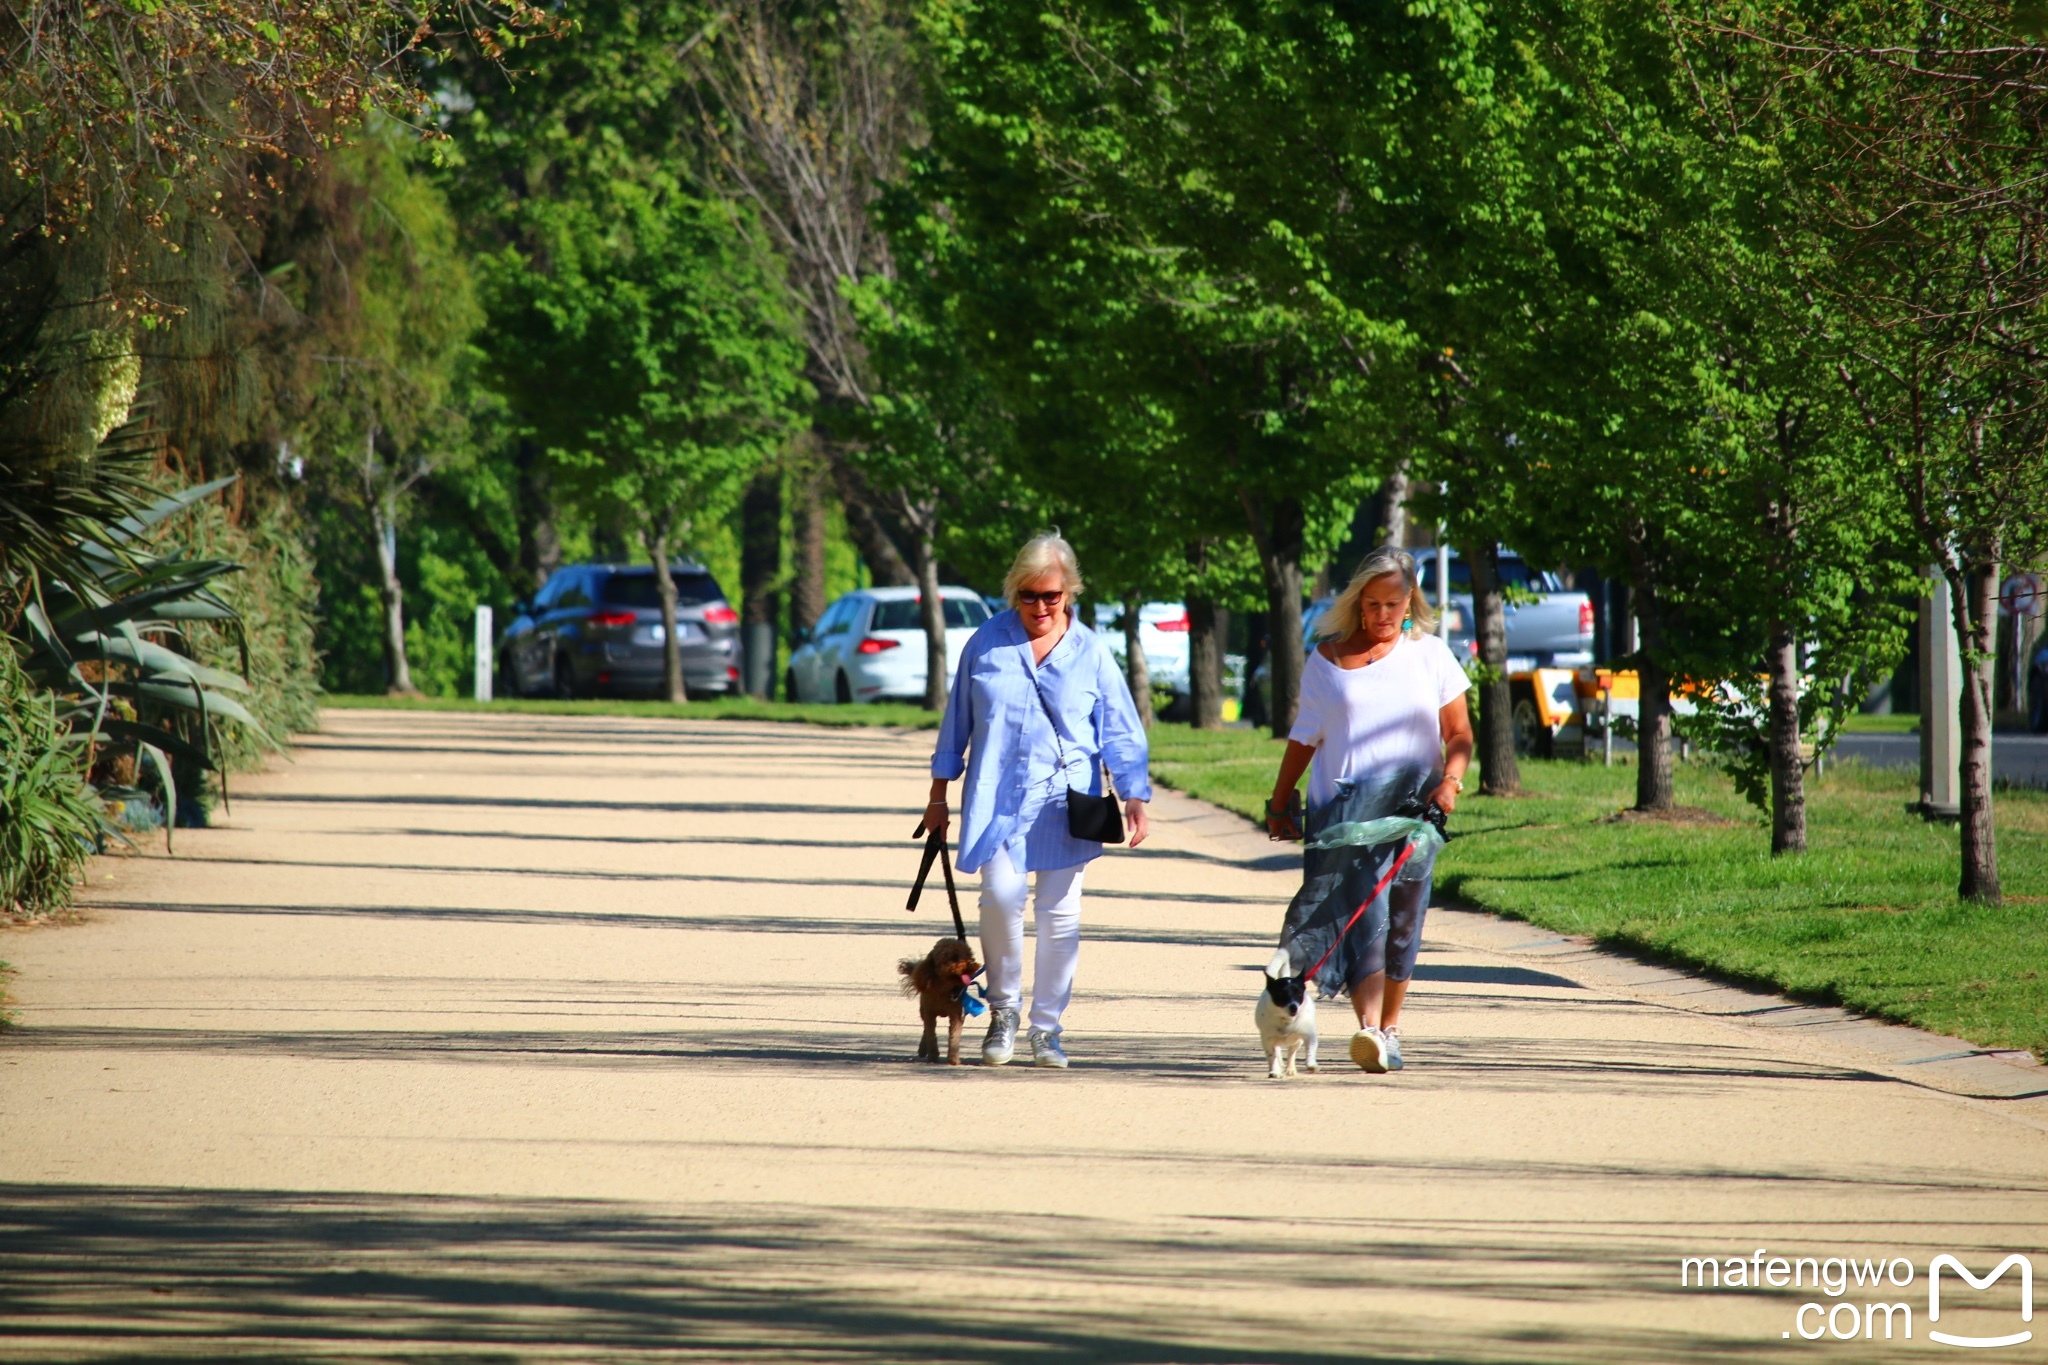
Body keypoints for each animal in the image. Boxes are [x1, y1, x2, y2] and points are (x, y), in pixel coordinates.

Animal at [1253, 949, 1318, 1080]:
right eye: (1281, 994)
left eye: (1299, 993)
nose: (1294, 1007)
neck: (1286, 1020)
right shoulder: (1267, 1040)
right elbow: (1271, 1056)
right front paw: (1274, 1071)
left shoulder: (1309, 1035)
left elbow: (1310, 1049)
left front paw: (1311, 1064)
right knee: (1277, 1052)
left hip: (1297, 1042)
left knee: (1291, 1052)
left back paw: (1290, 1068)